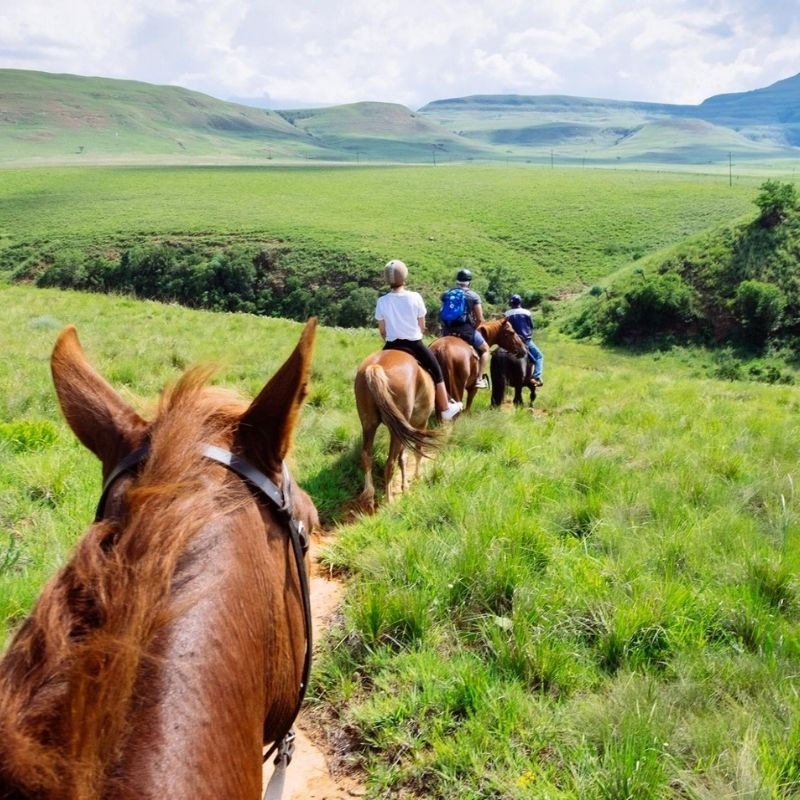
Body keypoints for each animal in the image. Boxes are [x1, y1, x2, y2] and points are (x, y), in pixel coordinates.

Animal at [354, 350, 439, 511]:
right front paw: (416, 478)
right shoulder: (420, 424)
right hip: (396, 431)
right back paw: (389, 501)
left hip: (368, 424)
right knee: (390, 463)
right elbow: (416, 453)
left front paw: (405, 486)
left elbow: (403, 457)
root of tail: (376, 366)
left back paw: (369, 497)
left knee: (366, 456)